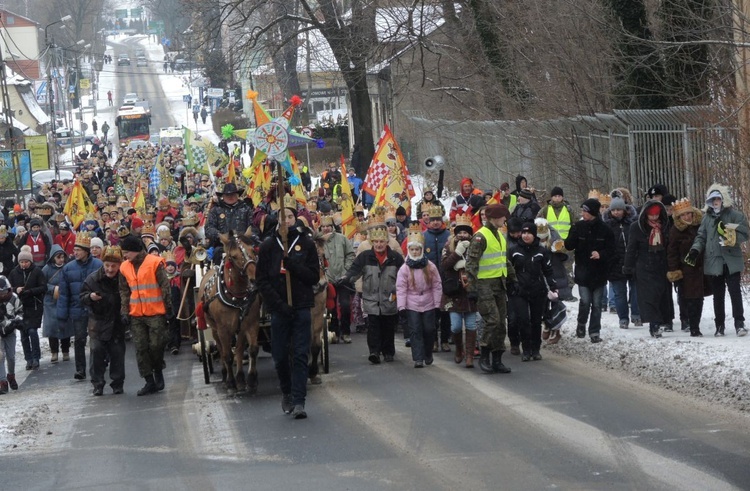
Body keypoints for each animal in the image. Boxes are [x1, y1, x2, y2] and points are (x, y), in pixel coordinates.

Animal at [197, 231, 258, 396]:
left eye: (253, 250)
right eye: (234, 256)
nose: (254, 279)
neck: (236, 295)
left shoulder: (248, 324)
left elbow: (248, 350)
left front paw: (247, 380)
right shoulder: (223, 329)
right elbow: (227, 355)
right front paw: (231, 383)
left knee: (240, 350)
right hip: (214, 328)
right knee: (220, 348)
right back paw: (225, 375)